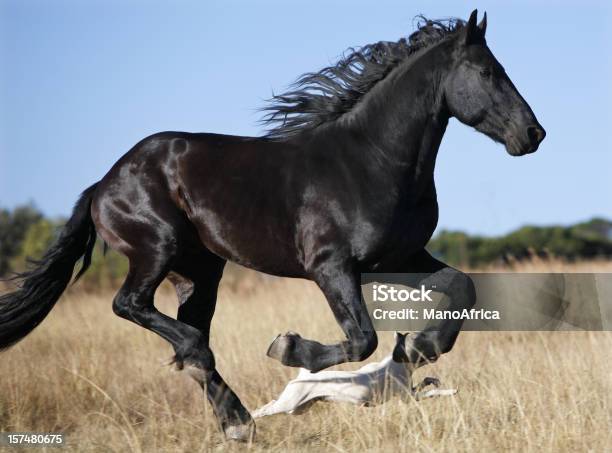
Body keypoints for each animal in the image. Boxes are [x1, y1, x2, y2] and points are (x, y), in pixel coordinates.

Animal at [251, 332, 456, 416]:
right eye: (421, 341)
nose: (440, 349)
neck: (399, 363)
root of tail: (303, 375)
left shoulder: (410, 390)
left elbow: (427, 381)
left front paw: (435, 380)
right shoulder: (409, 397)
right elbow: (433, 392)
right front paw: (451, 391)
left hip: (297, 409)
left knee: (271, 403)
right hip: (289, 404)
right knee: (265, 409)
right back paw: (251, 419)